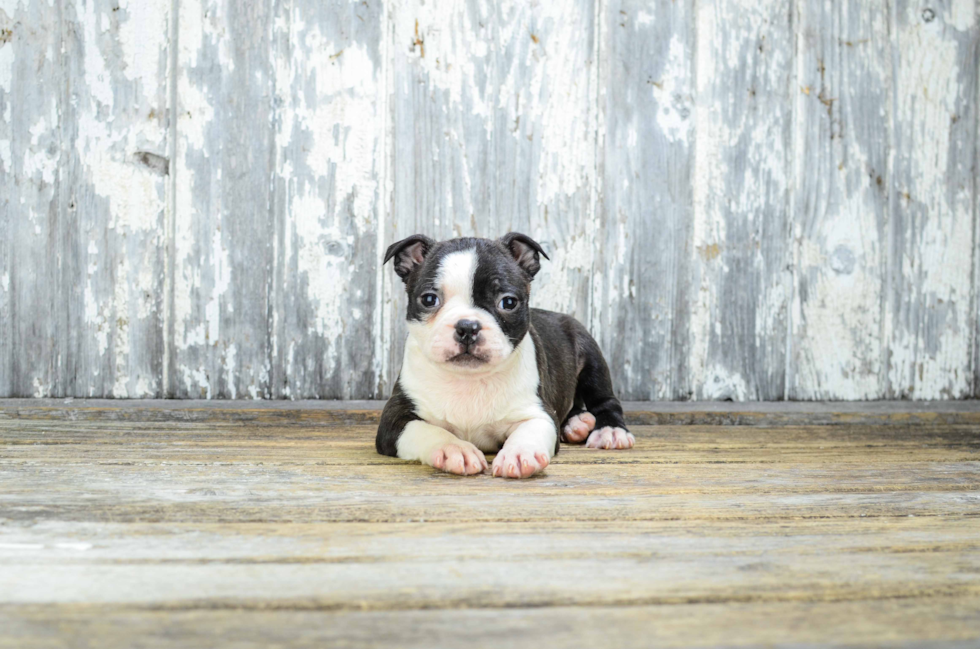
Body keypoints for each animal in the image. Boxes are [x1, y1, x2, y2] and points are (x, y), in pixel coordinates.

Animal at [376, 233, 636, 476]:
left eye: (508, 302)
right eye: (429, 299)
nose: (468, 327)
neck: (468, 379)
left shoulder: (538, 413)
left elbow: (530, 431)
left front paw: (520, 454)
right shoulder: (394, 419)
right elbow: (429, 430)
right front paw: (455, 449)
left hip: (591, 355)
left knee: (605, 400)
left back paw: (609, 430)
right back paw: (577, 424)